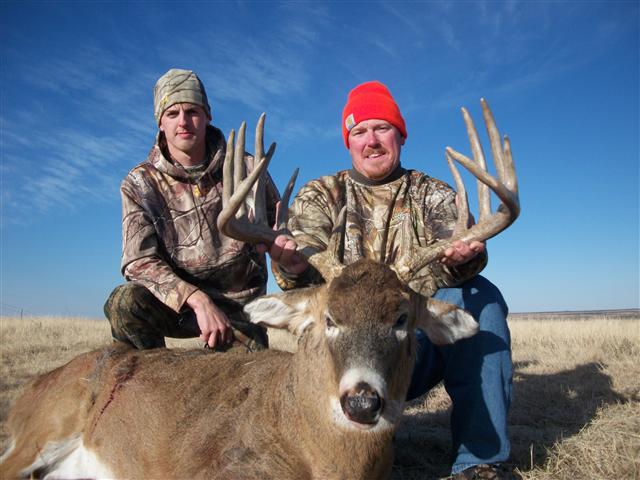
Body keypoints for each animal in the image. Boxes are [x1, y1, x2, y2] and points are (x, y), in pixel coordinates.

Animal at [0, 100, 519, 480]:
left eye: (402, 319)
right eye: (329, 319)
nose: (362, 402)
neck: (323, 458)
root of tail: (28, 392)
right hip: (42, 430)